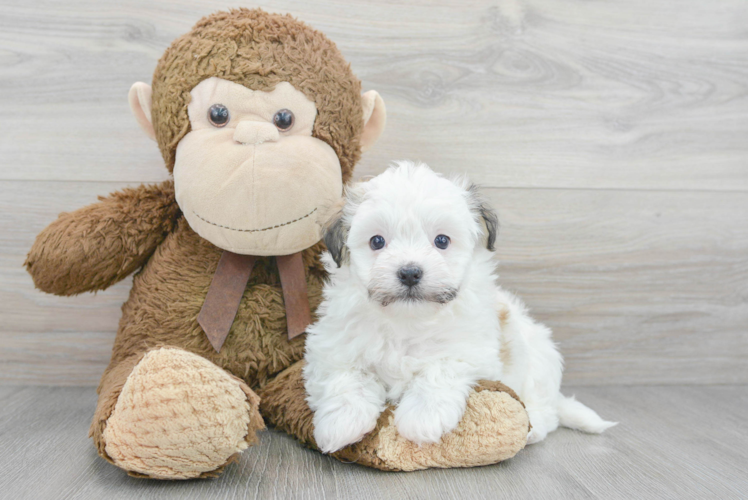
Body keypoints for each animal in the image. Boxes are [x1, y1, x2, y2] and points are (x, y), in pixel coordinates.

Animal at [304, 161, 612, 454]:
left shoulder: (472, 349)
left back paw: (533, 428)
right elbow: (345, 376)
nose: (410, 272)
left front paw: (422, 417)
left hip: (538, 359)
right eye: (377, 241)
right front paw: (342, 420)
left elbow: (441, 367)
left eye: (442, 241)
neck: (407, 321)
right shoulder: (332, 345)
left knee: (545, 411)